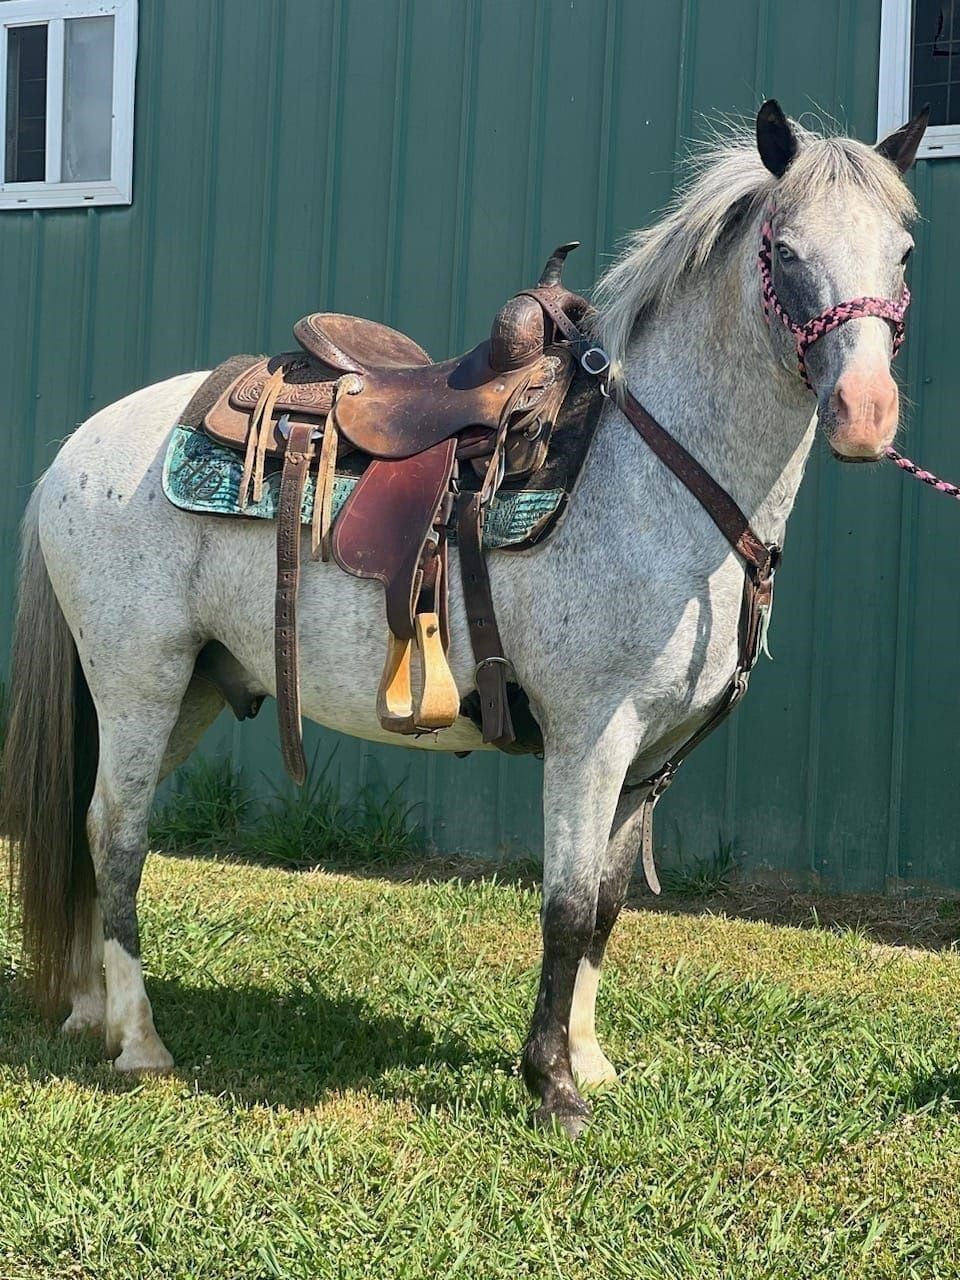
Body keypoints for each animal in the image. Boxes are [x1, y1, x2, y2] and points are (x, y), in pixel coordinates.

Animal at [1, 104, 931, 1136]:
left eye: (903, 250)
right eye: (786, 249)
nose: (864, 414)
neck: (657, 477)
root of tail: (75, 453)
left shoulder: (650, 759)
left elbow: (608, 907)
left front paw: (591, 1059)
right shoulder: (589, 739)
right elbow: (566, 907)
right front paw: (554, 1086)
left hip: (189, 692)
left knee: (89, 823)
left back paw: (90, 1009)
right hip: (141, 681)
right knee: (120, 837)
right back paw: (140, 1041)